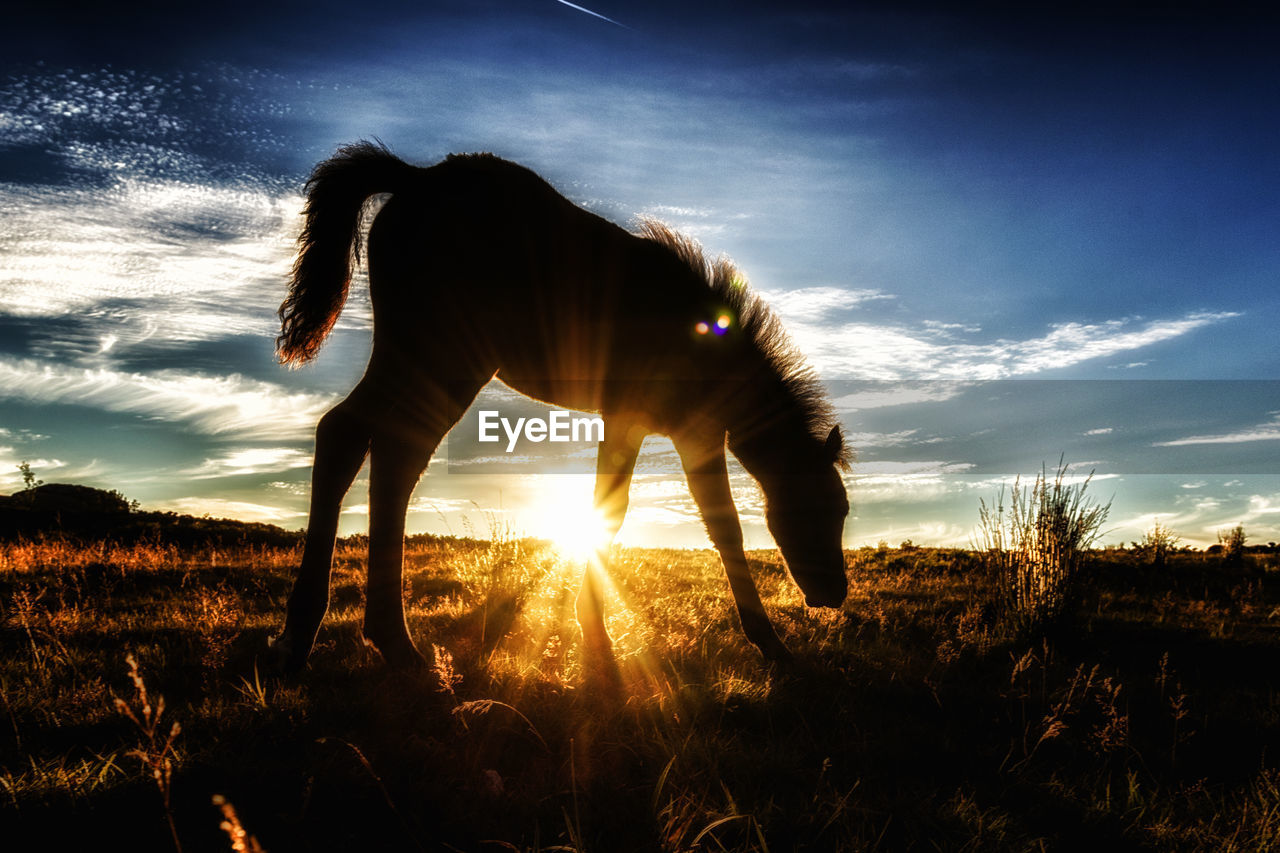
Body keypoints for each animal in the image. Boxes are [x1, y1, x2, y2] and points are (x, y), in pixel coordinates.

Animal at [269, 141, 851, 672]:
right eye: (822, 507)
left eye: (842, 510)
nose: (833, 594)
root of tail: (416, 178)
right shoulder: (644, 420)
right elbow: (655, 516)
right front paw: (600, 634)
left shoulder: (679, 431)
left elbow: (689, 519)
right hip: (446, 356)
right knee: (374, 446)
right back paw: (359, 642)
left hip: (418, 356)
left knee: (367, 445)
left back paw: (345, 638)